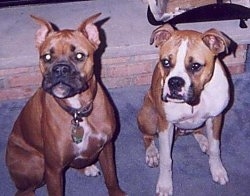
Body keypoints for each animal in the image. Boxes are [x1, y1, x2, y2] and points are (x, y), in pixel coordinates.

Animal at [5, 13, 126, 196]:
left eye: (79, 56)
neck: (77, 111)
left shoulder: (106, 147)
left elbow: (111, 177)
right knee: (25, 191)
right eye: (47, 57)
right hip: (37, 164)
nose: (60, 69)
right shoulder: (53, 170)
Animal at [138, 24, 231, 194]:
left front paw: (218, 170)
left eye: (196, 66)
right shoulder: (165, 125)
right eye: (166, 62)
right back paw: (152, 153)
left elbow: (215, 148)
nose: (175, 82)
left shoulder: (216, 118)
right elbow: (166, 159)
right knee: (147, 137)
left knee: (197, 131)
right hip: (148, 116)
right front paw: (165, 184)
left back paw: (204, 141)